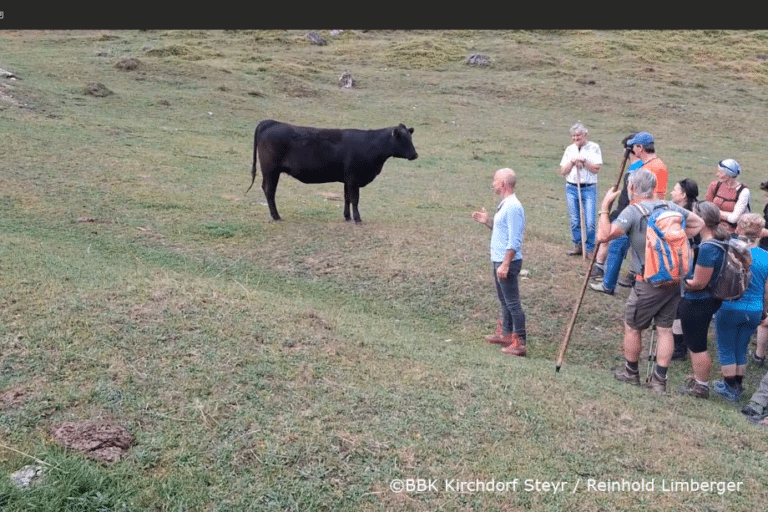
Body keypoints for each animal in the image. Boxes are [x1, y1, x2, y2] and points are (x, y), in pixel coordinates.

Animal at [246, 119, 418, 223]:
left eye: (410, 137)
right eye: (402, 138)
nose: (415, 155)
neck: (371, 145)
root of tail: (270, 122)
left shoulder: (347, 179)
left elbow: (347, 198)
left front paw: (347, 217)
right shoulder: (354, 178)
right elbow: (355, 199)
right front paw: (357, 219)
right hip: (271, 170)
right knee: (269, 190)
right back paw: (276, 216)